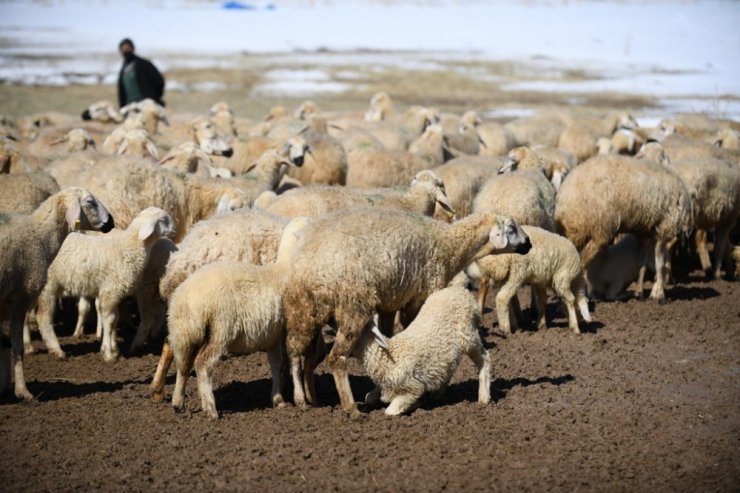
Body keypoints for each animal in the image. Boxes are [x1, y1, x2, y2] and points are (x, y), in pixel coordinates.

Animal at [0, 187, 114, 400]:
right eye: (90, 202)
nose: (111, 221)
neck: (39, 236)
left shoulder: (4, 305)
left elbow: (3, 344)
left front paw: (4, 388)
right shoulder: (20, 299)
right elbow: (17, 347)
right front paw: (23, 392)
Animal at [35, 206, 174, 360]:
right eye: (163, 219)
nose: (174, 228)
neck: (128, 247)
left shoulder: (114, 294)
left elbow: (115, 320)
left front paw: (114, 348)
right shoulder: (110, 291)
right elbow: (110, 320)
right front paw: (108, 353)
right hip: (48, 286)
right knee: (43, 318)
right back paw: (57, 350)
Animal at [354, 284, 492, 416]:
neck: (390, 356)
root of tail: (463, 291)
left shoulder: (413, 386)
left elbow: (390, 411)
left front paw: (415, 405)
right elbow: (368, 397)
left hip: (469, 335)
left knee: (485, 358)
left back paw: (484, 397)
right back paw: (436, 395)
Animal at [556, 152, 692, 302]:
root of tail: (565, 197)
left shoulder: (644, 232)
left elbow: (642, 264)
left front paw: (640, 292)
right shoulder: (664, 228)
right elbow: (659, 262)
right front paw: (658, 293)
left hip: (577, 234)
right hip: (600, 229)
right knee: (583, 263)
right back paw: (587, 296)